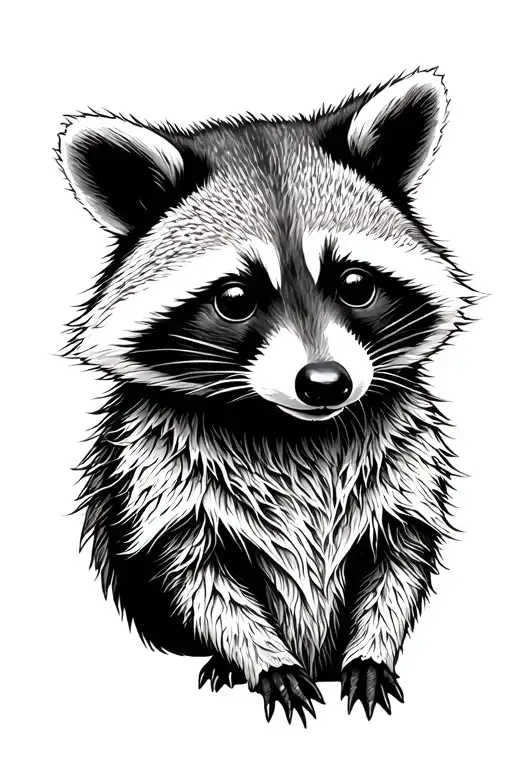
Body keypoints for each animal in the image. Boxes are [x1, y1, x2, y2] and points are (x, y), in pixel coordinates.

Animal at [57, 69, 474, 726]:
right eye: (235, 298)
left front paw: (371, 650)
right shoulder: (161, 476)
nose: (326, 382)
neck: (293, 426)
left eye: (355, 284)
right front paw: (261, 658)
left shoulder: (406, 463)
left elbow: (397, 562)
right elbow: (199, 577)